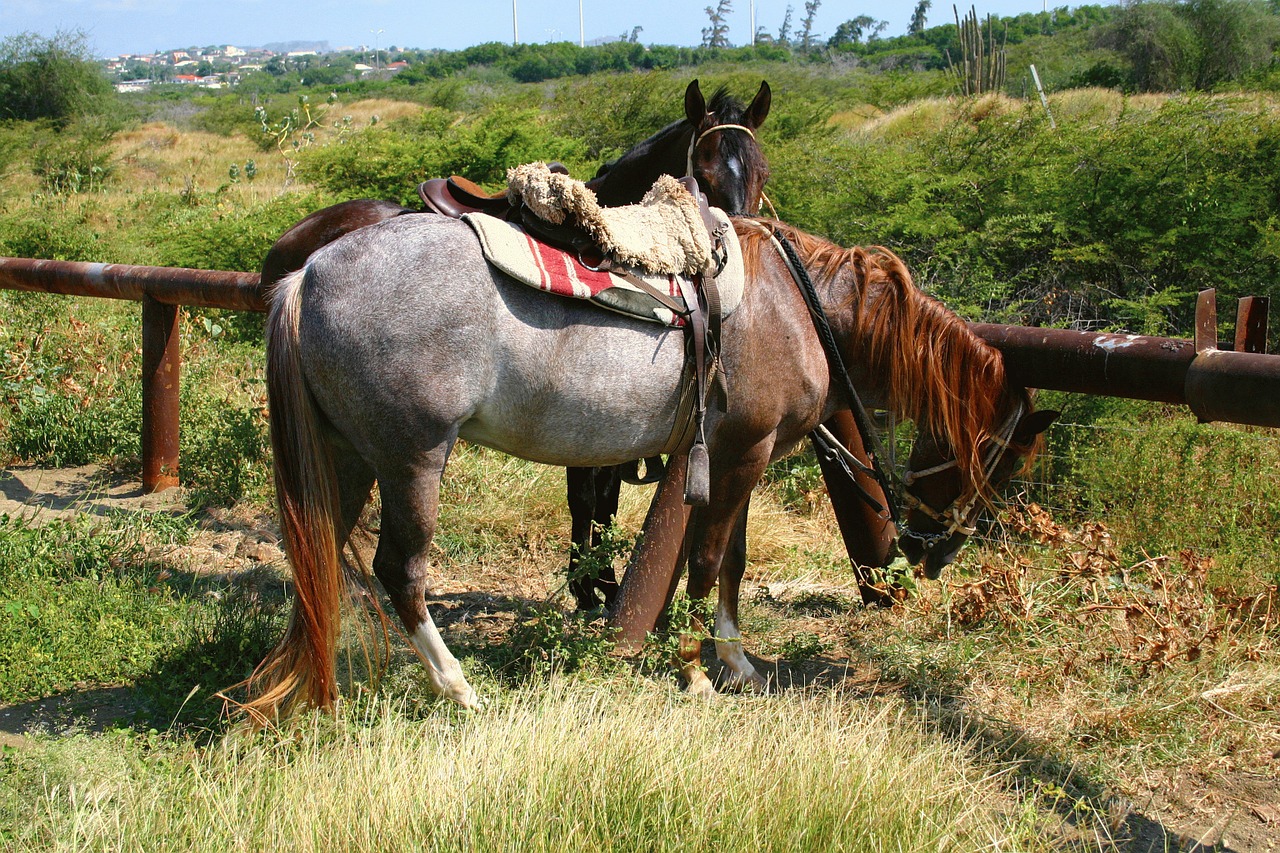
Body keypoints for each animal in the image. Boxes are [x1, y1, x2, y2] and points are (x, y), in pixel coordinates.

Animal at [244, 213, 1054, 717]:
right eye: (1000, 461)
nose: (934, 554)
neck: (801, 306)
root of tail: (307, 276)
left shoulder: (738, 454)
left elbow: (732, 560)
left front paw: (736, 661)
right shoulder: (742, 452)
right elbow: (706, 559)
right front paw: (697, 671)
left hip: (348, 457)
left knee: (315, 553)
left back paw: (295, 682)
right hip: (413, 459)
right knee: (399, 570)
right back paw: (458, 687)